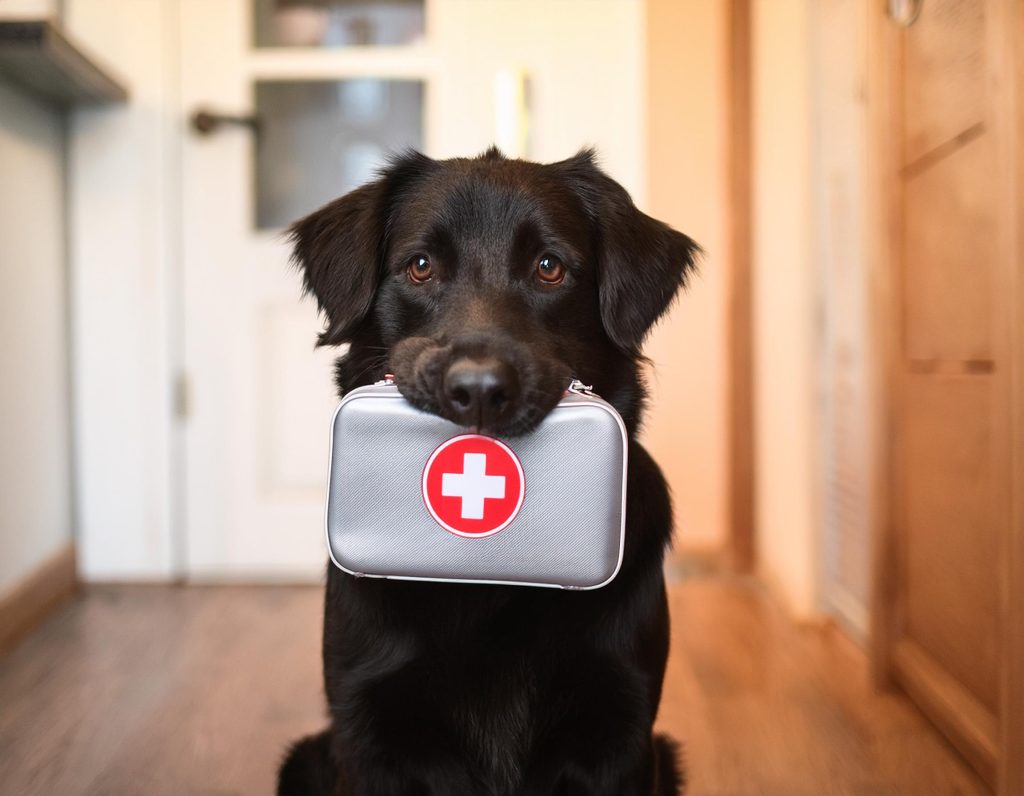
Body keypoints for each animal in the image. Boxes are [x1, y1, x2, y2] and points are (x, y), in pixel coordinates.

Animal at [276, 145, 700, 790]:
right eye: (420, 266)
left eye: (549, 267)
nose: (477, 391)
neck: (488, 581)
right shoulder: (365, 729)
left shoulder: (620, 732)